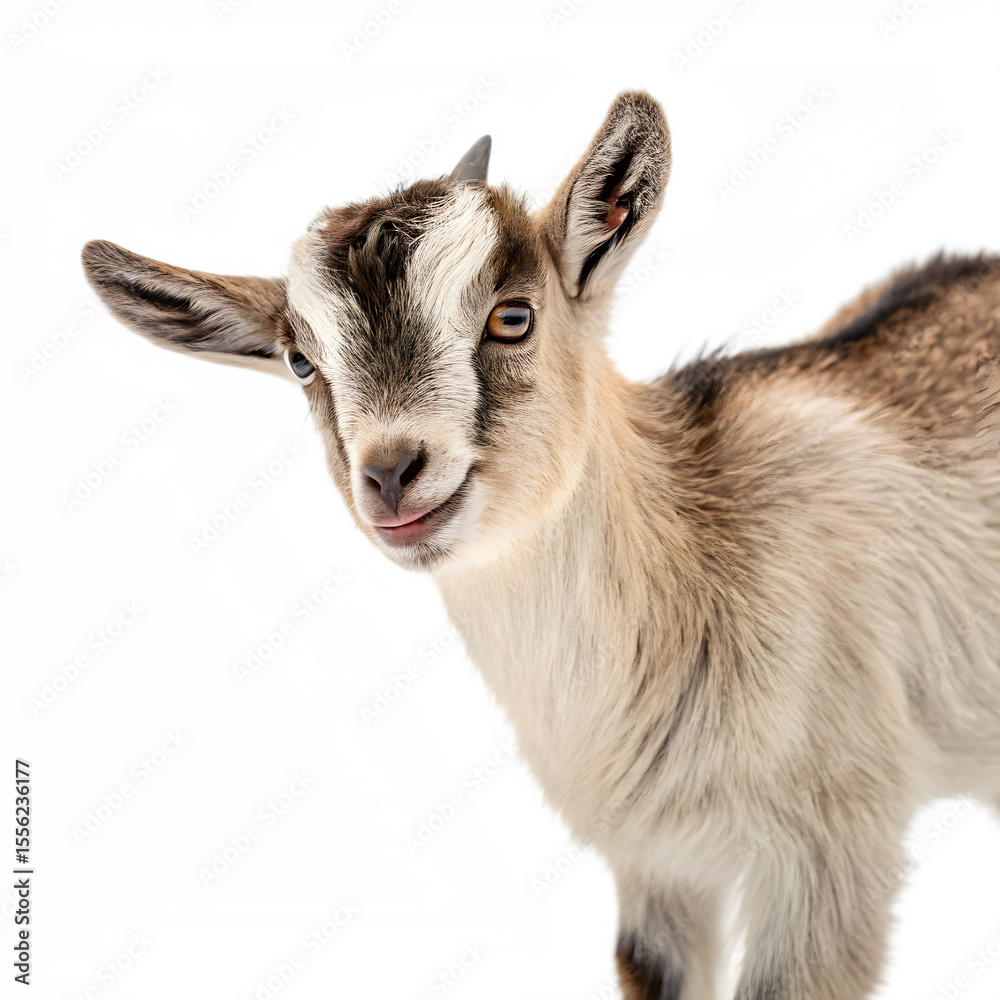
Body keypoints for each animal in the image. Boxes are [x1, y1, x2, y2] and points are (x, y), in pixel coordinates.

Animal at [82, 90, 1000, 1000]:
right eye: (301, 361)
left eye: (512, 317)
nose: (390, 474)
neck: (700, 541)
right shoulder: (654, 864)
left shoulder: (832, 854)